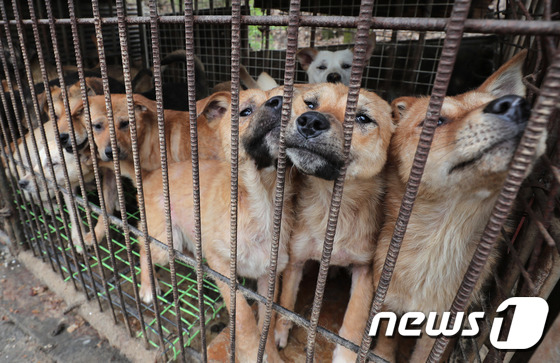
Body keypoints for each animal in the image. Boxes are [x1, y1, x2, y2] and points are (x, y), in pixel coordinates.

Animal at [132, 89, 294, 363]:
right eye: (245, 111)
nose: (280, 102)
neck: (262, 199)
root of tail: (151, 176)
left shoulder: (268, 277)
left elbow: (266, 321)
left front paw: (269, 354)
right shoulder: (222, 267)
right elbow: (243, 317)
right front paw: (249, 352)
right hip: (166, 241)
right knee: (143, 243)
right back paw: (145, 286)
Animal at [274, 84, 396, 362]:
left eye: (363, 118)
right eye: (310, 104)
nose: (310, 121)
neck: (332, 207)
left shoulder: (365, 271)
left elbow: (353, 323)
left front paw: (345, 356)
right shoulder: (295, 260)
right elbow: (286, 302)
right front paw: (280, 333)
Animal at [372, 49, 548, 362]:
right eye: (436, 121)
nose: (516, 106)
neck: (442, 241)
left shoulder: (440, 327)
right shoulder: (386, 301)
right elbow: (383, 346)